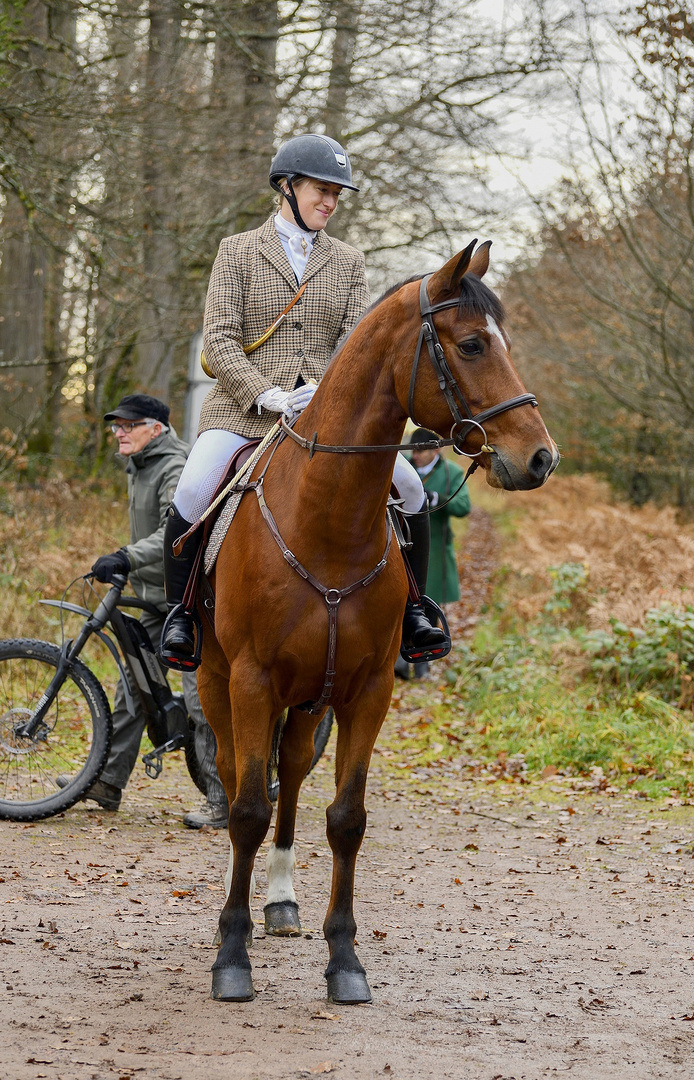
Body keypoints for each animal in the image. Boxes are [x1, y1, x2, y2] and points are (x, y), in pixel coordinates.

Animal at [194, 238, 561, 1002]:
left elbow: (346, 819)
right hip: (220, 683)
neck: (326, 518)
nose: (540, 457)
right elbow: (245, 809)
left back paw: (281, 901)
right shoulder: (251, 682)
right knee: (238, 777)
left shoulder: (368, 691)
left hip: (311, 696)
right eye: (474, 344)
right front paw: (232, 954)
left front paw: (344, 959)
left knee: (291, 773)